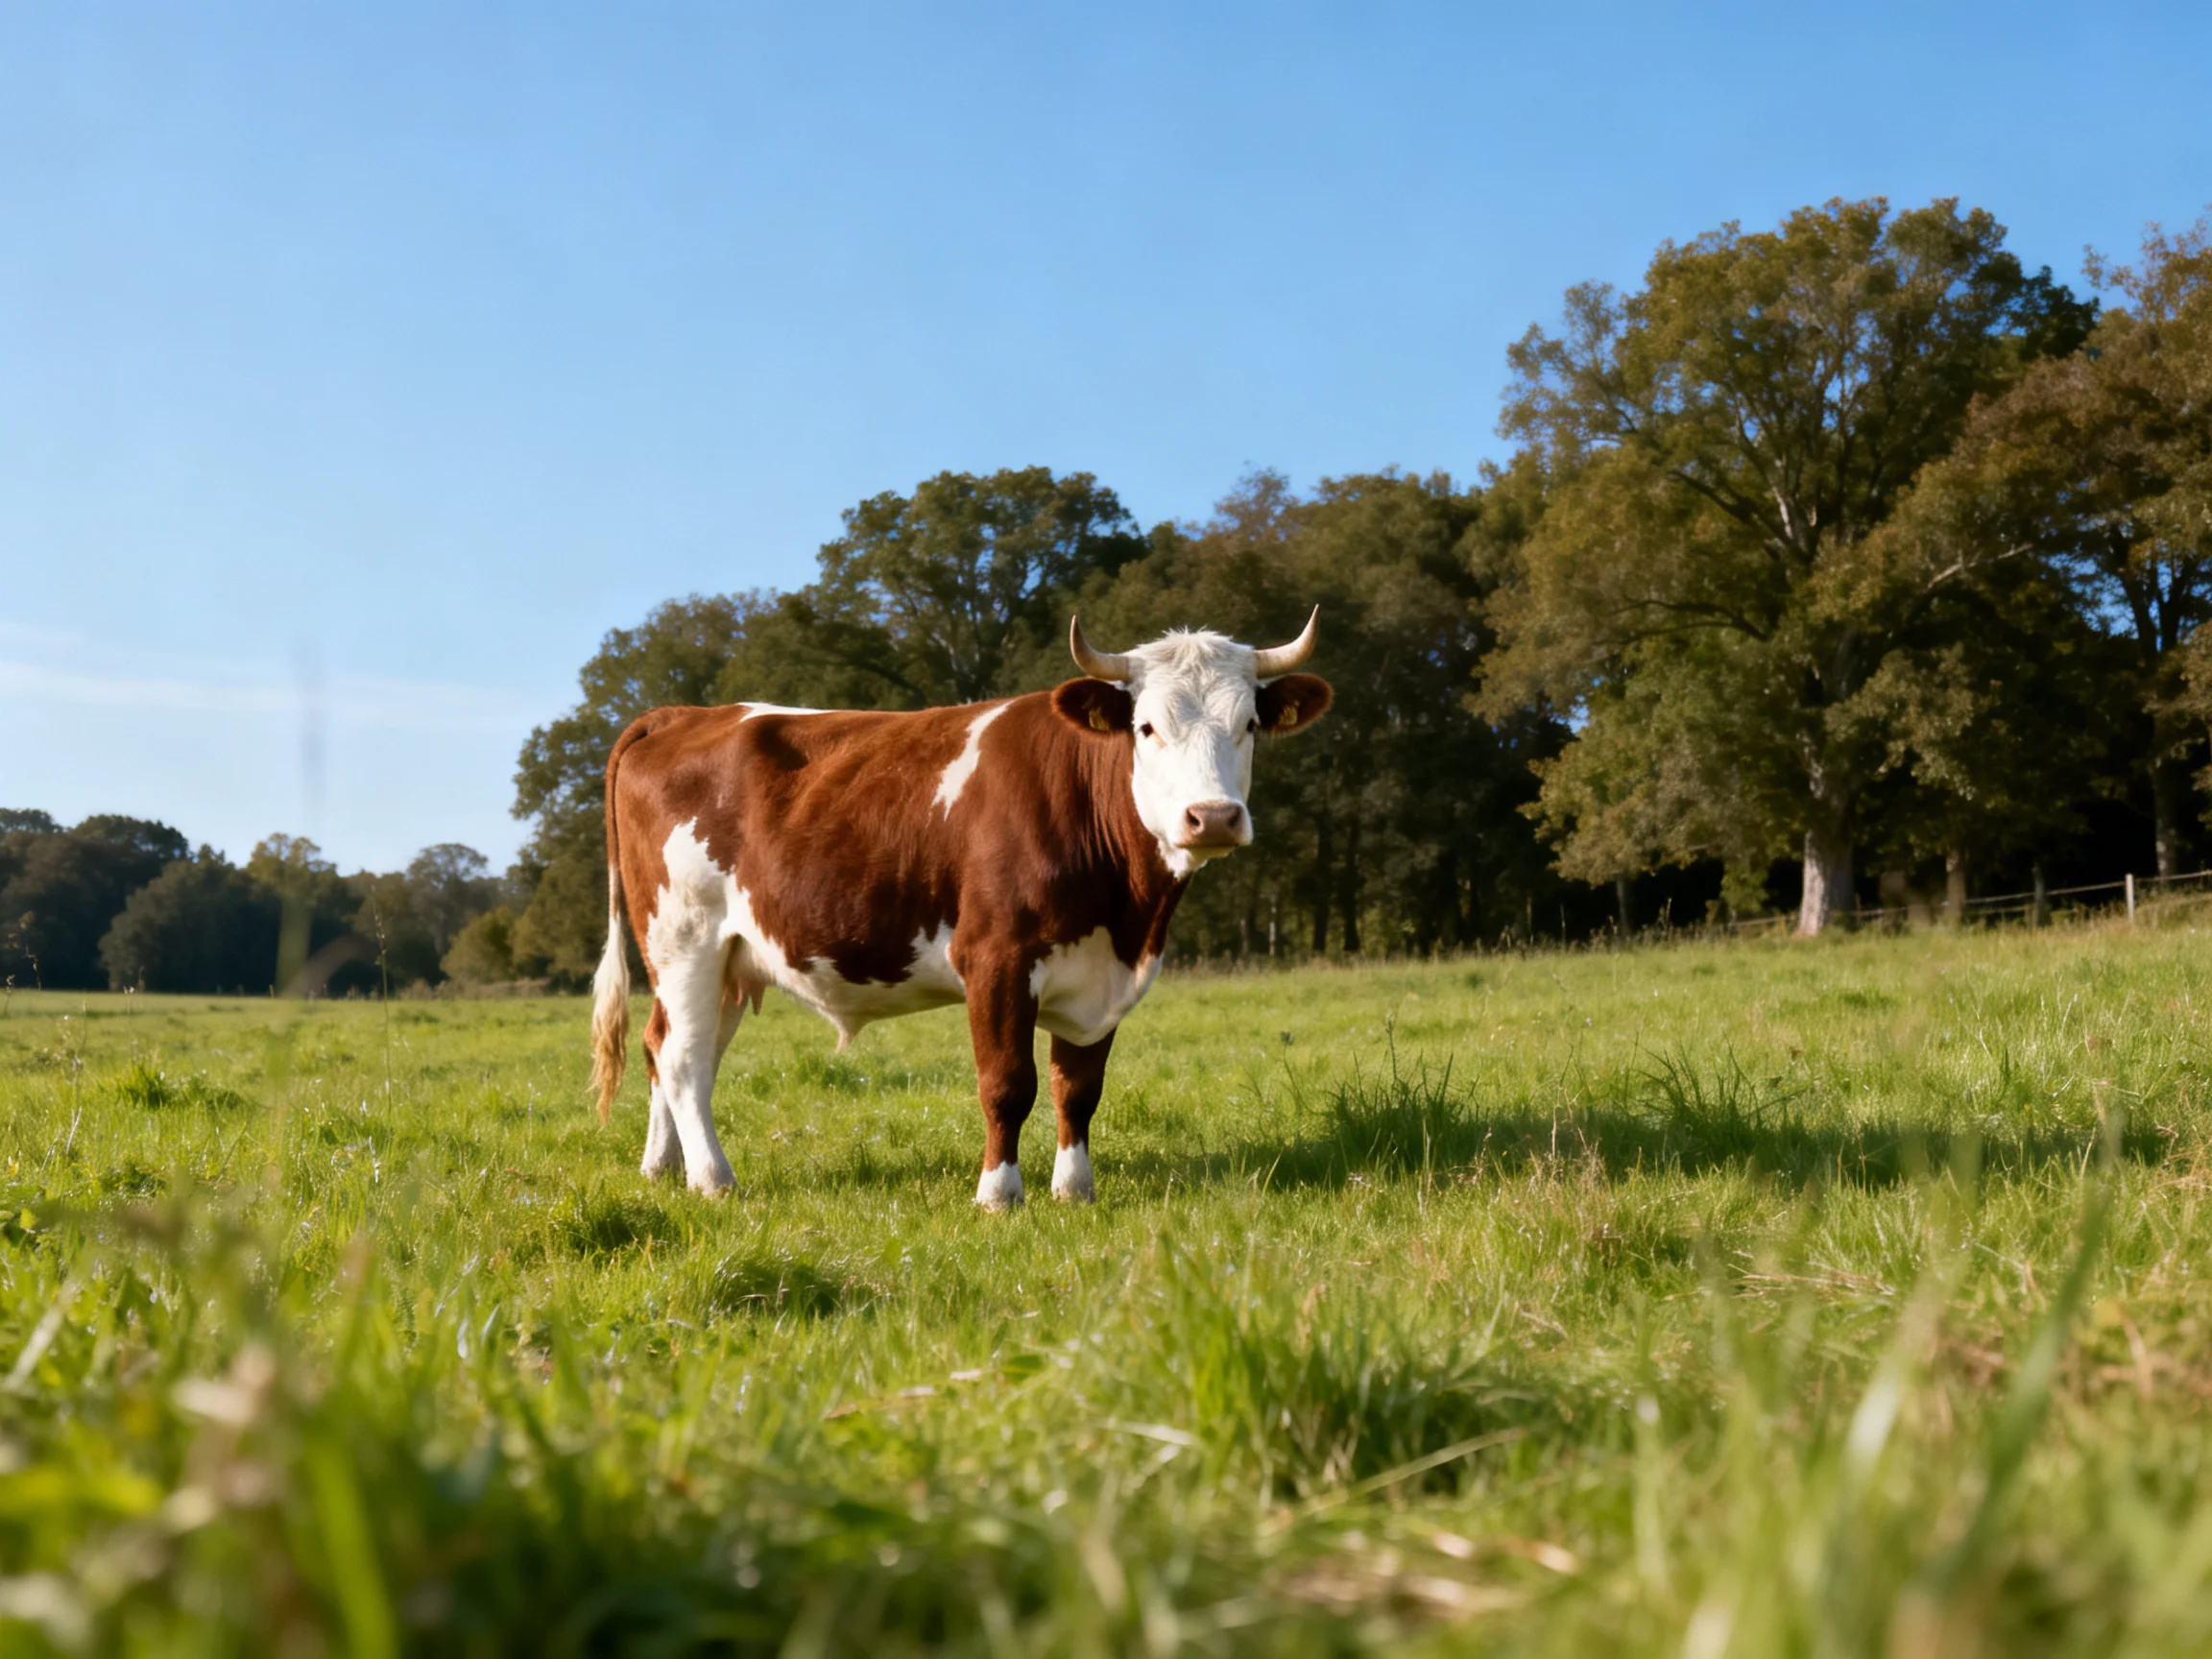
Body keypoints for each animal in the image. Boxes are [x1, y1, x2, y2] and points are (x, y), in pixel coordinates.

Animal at [586, 611, 1333, 1208]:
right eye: (1146, 727)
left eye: (1249, 725)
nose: (1212, 817)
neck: (1129, 913)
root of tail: (686, 714)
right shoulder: (996, 958)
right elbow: (1008, 1084)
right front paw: (999, 1195)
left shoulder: (1100, 974)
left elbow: (1077, 1088)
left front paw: (1075, 1192)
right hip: (683, 939)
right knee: (683, 1057)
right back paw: (714, 1180)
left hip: (729, 961)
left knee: (670, 1047)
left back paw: (664, 1168)